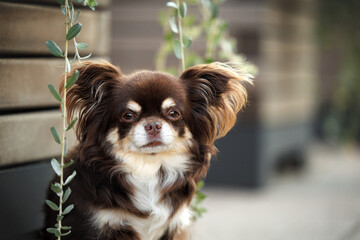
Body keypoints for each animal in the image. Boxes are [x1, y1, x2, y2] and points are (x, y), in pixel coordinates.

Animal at [43, 60, 253, 240]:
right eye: (128, 115)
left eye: (173, 113)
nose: (153, 125)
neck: (149, 168)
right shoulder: (105, 224)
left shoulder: (174, 226)